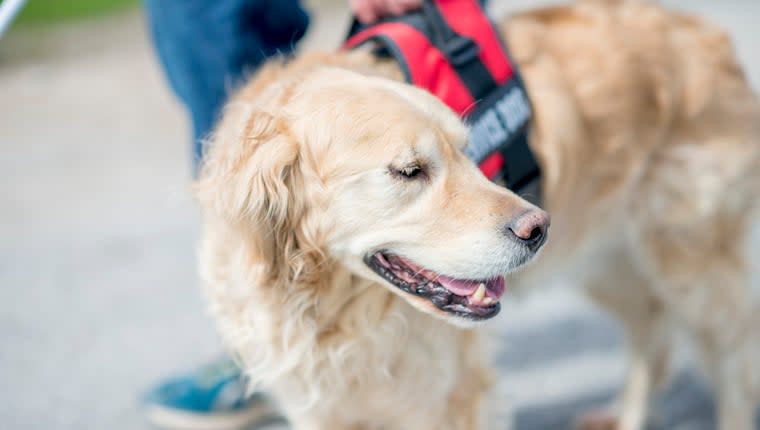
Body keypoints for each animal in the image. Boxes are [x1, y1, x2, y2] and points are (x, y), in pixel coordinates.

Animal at [194, 0, 760, 430]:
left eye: (468, 152)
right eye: (409, 170)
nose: (539, 228)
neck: (332, 307)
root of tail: (708, 34)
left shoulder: (449, 395)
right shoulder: (322, 405)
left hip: (691, 264)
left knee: (733, 354)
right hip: (607, 259)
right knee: (652, 331)